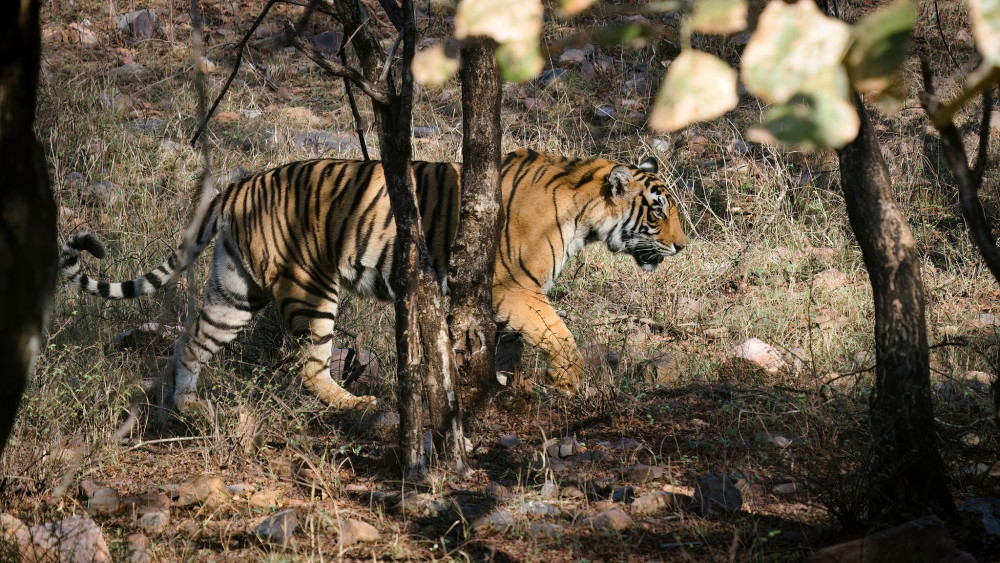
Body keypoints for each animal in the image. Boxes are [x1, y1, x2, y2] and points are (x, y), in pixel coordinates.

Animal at [60, 150, 688, 414]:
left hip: (236, 289)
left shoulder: (506, 300)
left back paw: (187, 405)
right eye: (658, 212)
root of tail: (240, 184)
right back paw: (353, 403)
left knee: (192, 341)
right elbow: (560, 335)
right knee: (308, 364)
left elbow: (509, 347)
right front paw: (574, 385)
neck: (586, 213)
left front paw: (505, 385)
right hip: (311, 288)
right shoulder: (512, 289)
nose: (683, 246)